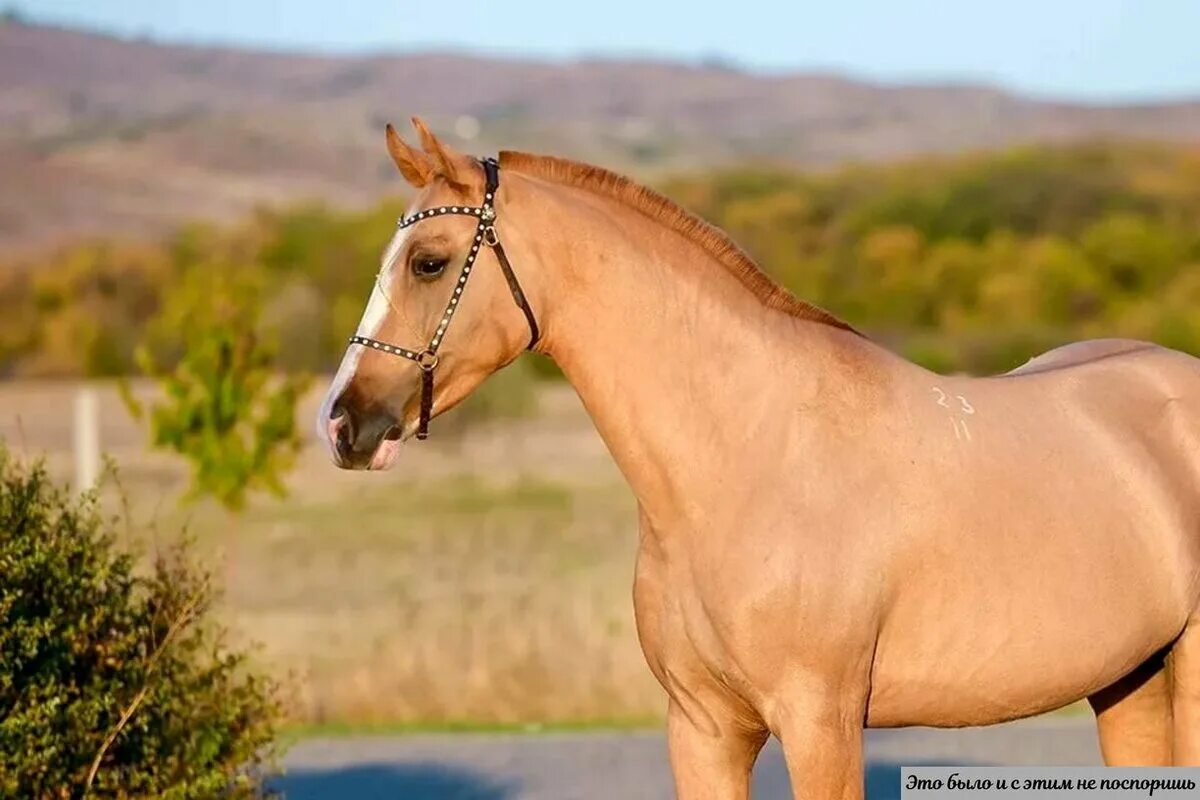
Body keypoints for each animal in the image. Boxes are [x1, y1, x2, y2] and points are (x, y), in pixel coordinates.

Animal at [316, 118, 1200, 800]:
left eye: (428, 262)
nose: (345, 425)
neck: (748, 461)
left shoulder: (821, 726)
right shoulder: (703, 729)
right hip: (1129, 682)